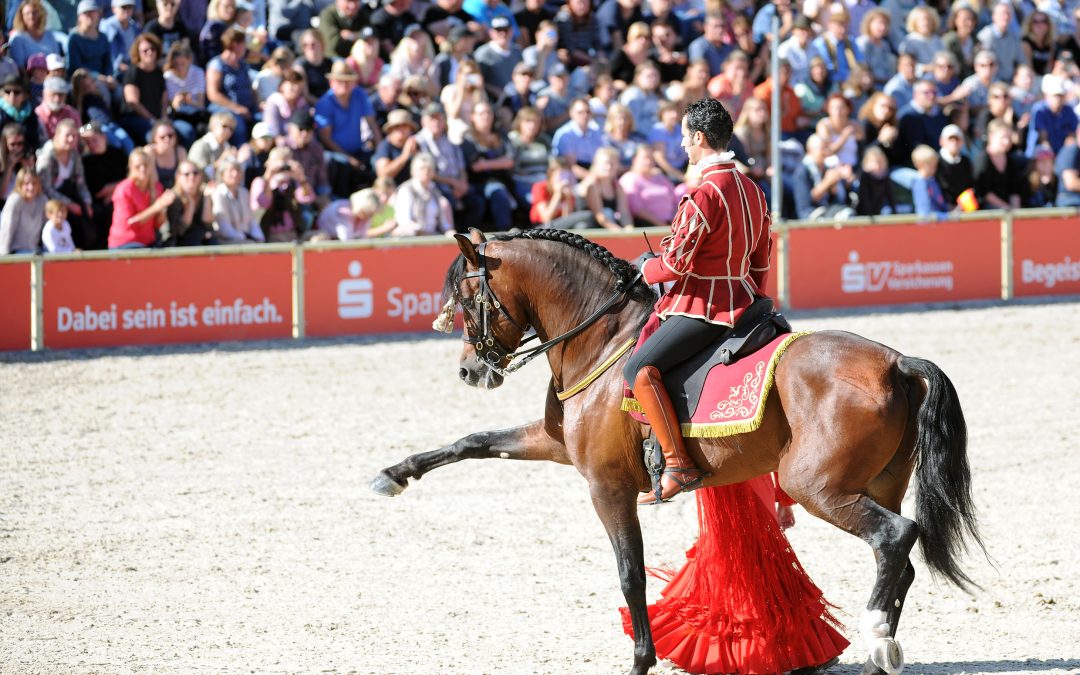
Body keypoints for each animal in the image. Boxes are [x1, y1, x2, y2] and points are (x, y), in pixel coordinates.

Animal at [373, 227, 989, 673]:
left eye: (468, 296)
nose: (469, 370)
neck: (603, 338)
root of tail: (896, 362)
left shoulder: (606, 486)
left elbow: (631, 574)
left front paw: (640, 662)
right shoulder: (555, 444)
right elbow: (473, 441)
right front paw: (395, 473)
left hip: (818, 487)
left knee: (896, 537)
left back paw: (878, 639)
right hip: (878, 482)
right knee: (900, 561)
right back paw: (877, 650)